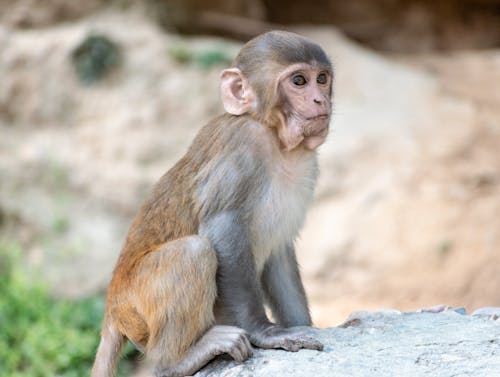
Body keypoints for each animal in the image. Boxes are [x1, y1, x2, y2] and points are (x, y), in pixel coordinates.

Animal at [92, 30, 334, 376]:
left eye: (322, 79)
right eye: (299, 81)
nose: (320, 100)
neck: (276, 139)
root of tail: (112, 306)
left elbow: (279, 251)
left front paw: (303, 325)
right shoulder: (243, 144)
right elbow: (223, 227)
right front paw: (265, 332)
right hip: (137, 306)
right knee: (193, 252)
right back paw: (175, 361)